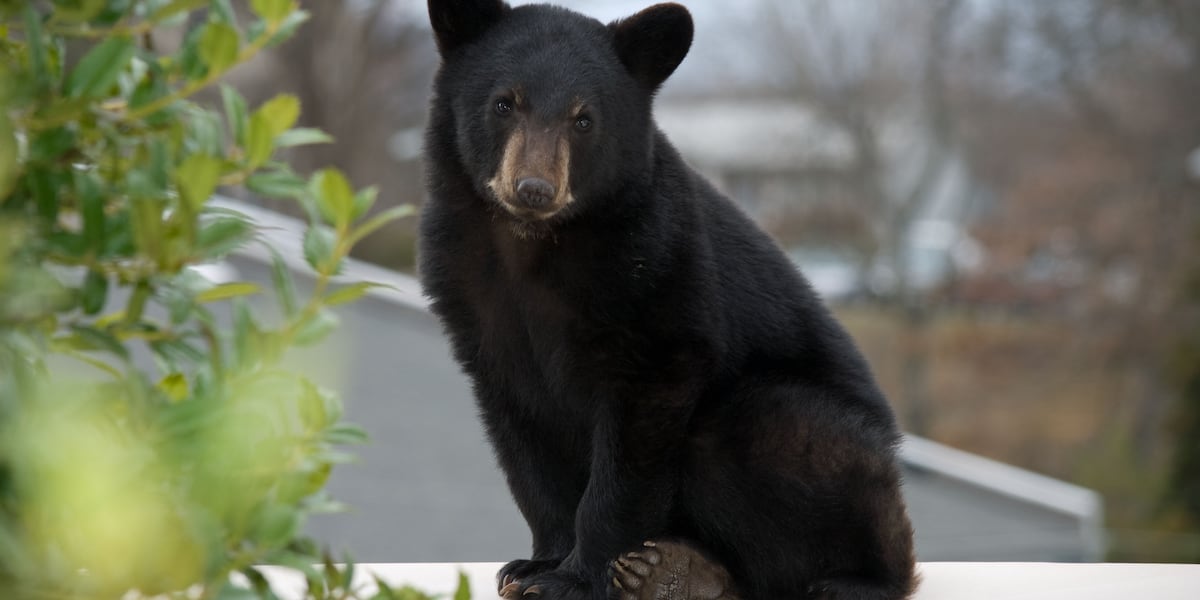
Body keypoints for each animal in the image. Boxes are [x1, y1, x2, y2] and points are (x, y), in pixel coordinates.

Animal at [418, 2, 917, 599]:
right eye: (504, 103)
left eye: (584, 119)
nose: (534, 188)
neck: (534, 244)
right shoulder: (474, 302)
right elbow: (527, 443)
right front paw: (533, 566)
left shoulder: (656, 269)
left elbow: (637, 434)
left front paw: (573, 578)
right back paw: (677, 570)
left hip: (808, 438)